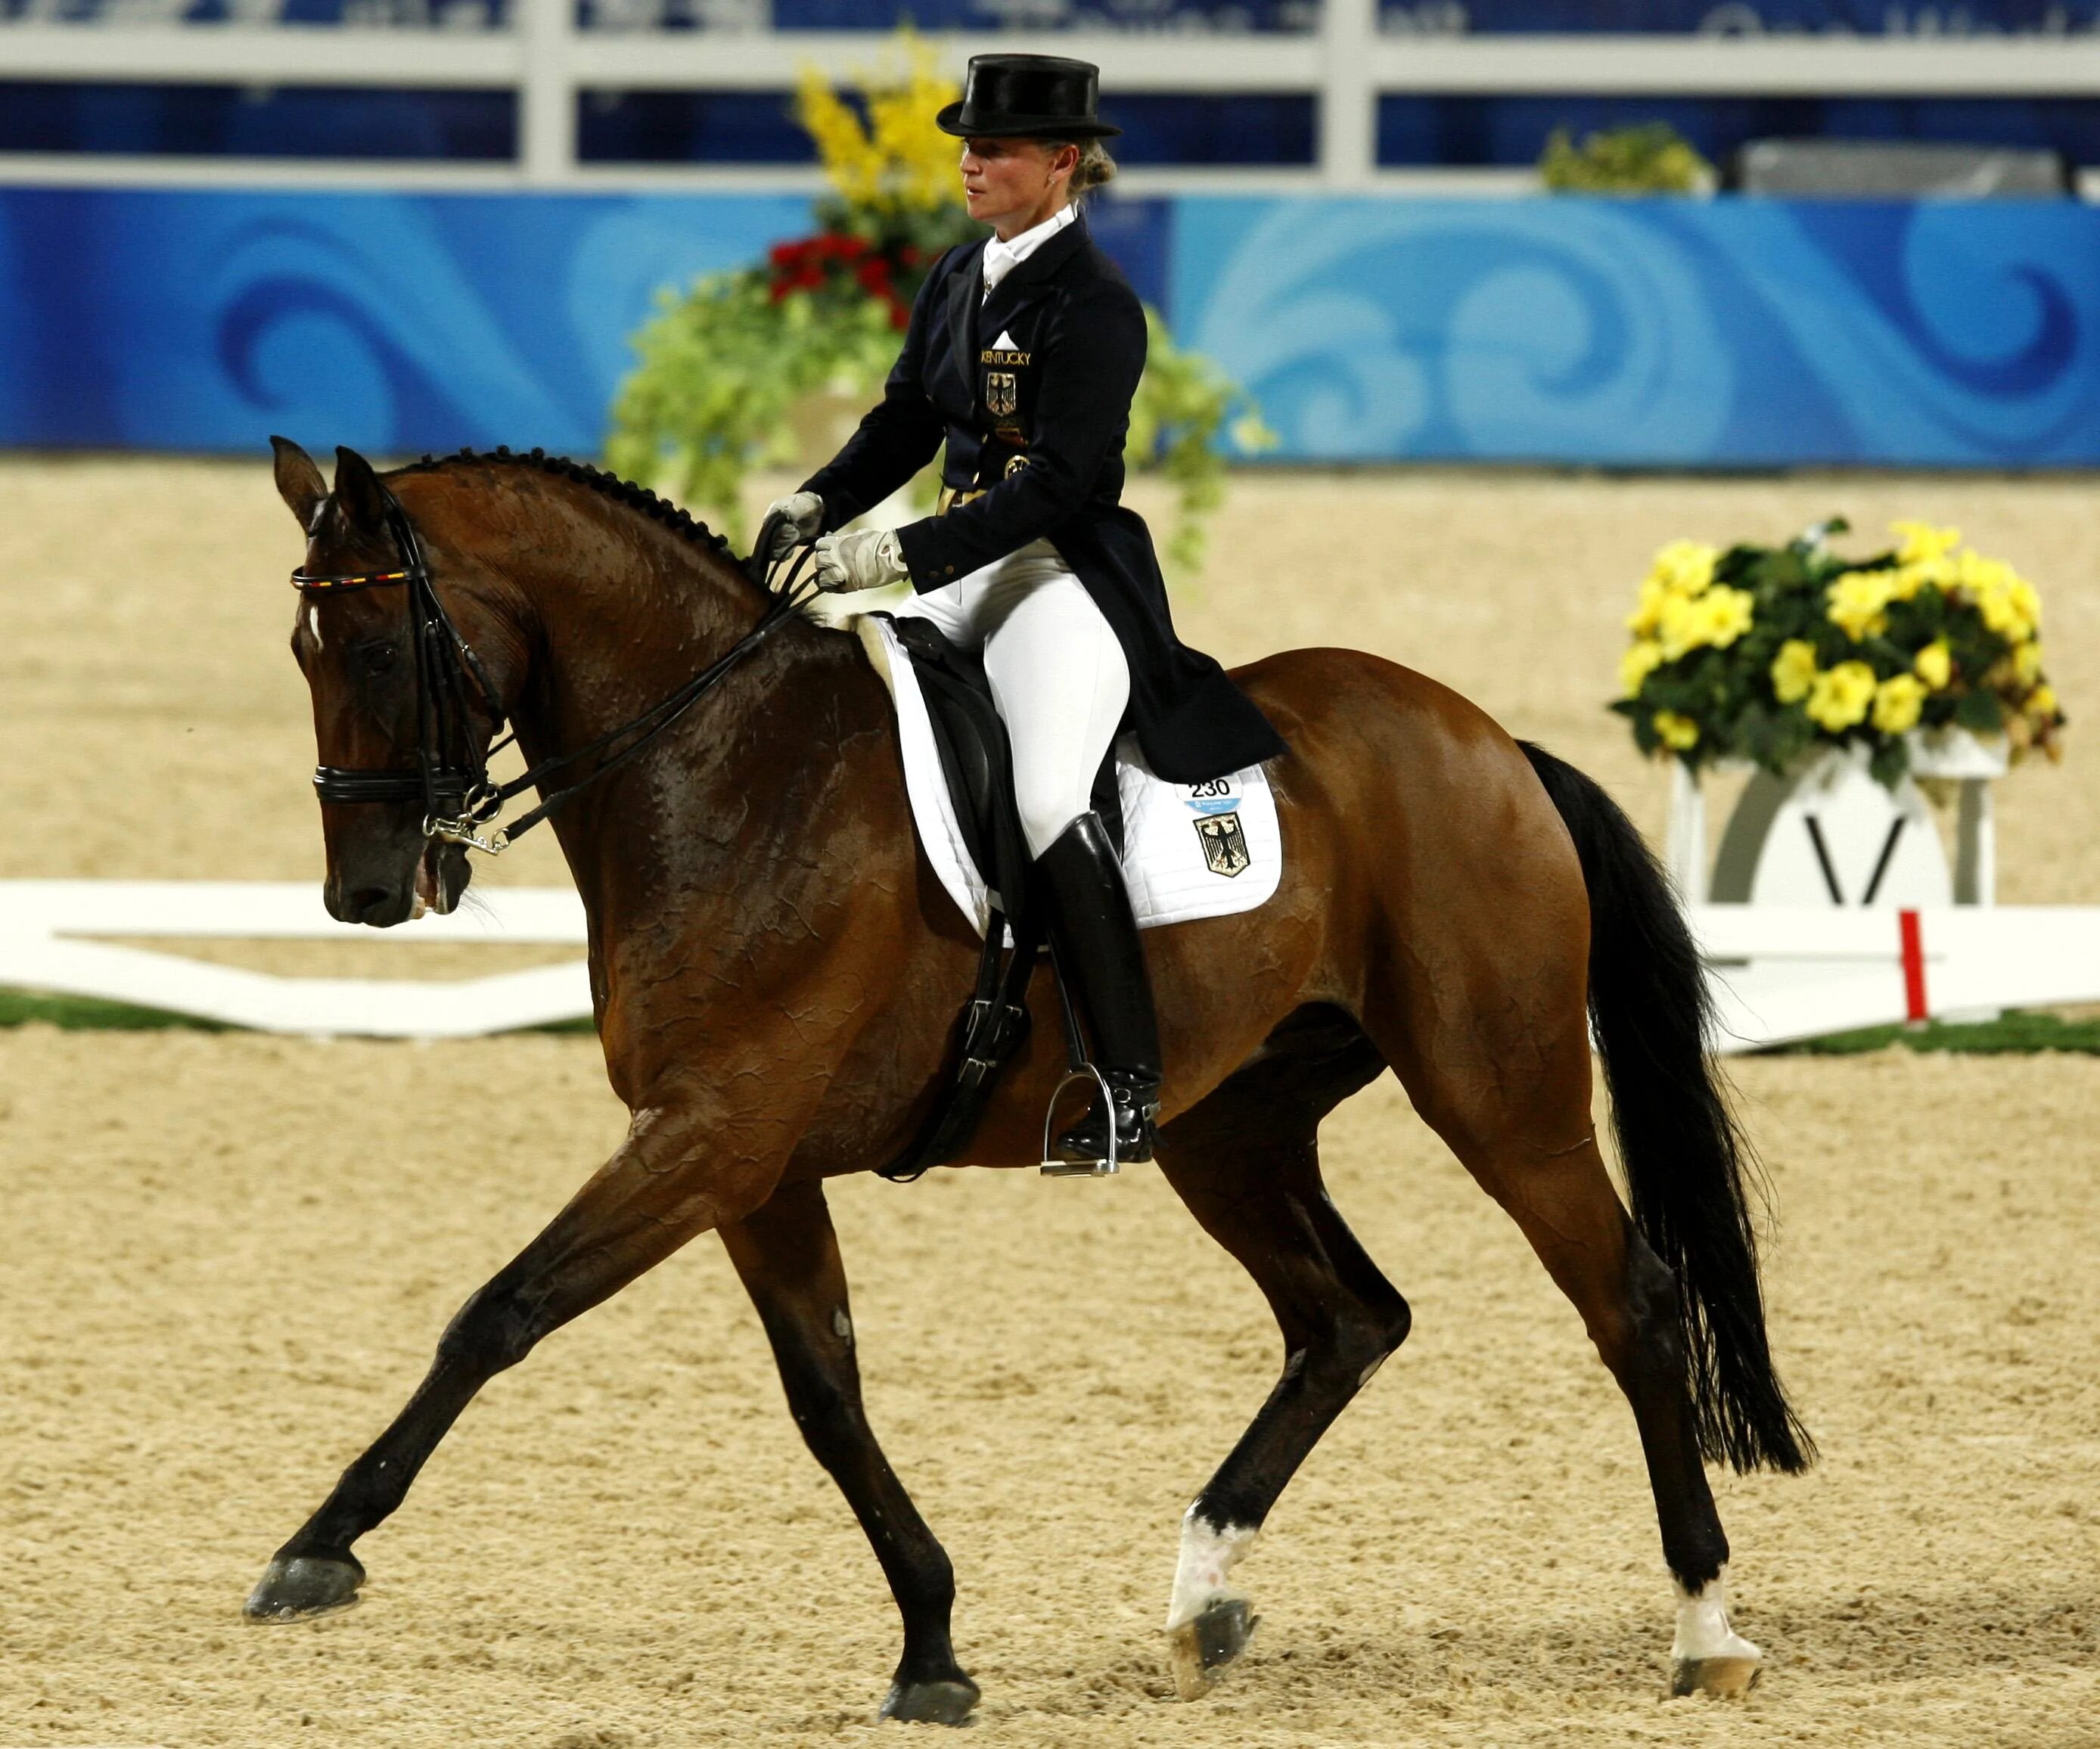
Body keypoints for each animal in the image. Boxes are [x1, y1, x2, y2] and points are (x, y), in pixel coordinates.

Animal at [253, 436, 1814, 1721]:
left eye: (378, 650)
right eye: (299, 649)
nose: (366, 894)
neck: (729, 770)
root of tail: (1490, 742)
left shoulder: (712, 1135)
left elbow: (500, 1312)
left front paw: (315, 1549)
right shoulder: (751, 1165)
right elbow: (827, 1397)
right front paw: (933, 1646)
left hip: (1501, 1093)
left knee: (1629, 1302)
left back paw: (1704, 1627)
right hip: (1230, 1128)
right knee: (1349, 1319)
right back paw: (1202, 1600)